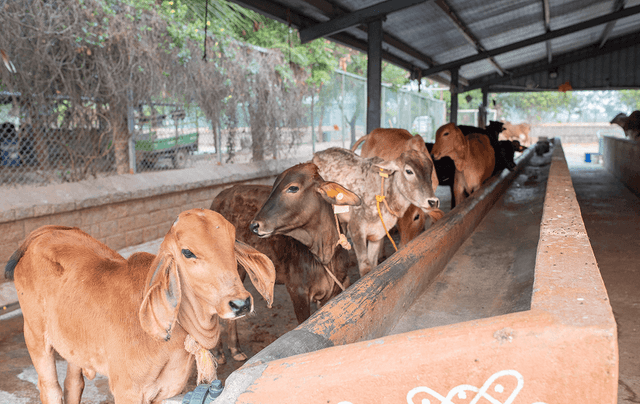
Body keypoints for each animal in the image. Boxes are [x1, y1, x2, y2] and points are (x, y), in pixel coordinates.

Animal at [4, 209, 275, 404]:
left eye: (231, 245)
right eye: (187, 252)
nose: (241, 303)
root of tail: (46, 231)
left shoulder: (166, 391)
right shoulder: (127, 391)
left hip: (74, 343)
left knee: (74, 384)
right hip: (35, 336)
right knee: (50, 389)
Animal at [312, 147, 441, 277]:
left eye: (430, 171)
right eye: (409, 171)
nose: (433, 202)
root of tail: (317, 154)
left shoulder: (378, 234)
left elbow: (373, 265)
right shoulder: (356, 230)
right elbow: (365, 269)